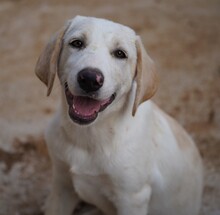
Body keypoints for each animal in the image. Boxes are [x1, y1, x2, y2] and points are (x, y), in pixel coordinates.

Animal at [35, 15, 203, 214]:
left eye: (120, 54)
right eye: (76, 43)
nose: (90, 79)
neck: (89, 135)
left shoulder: (132, 199)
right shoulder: (62, 184)